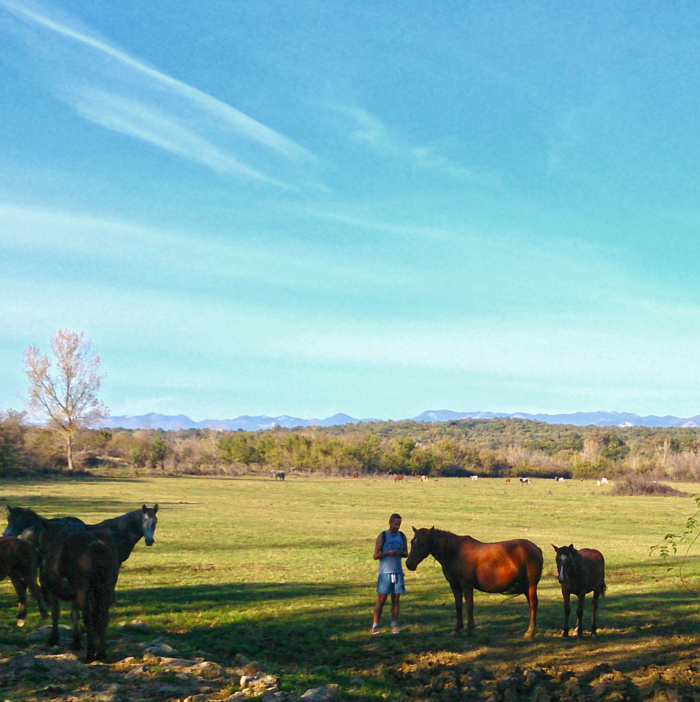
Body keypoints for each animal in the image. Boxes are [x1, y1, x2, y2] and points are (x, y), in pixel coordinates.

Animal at [404, 528, 540, 640]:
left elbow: (469, 605)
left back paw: (530, 631)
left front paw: (469, 630)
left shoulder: (466, 585)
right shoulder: (454, 584)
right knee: (531, 604)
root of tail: (536, 549)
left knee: (533, 603)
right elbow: (458, 605)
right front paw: (456, 629)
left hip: (531, 584)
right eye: (412, 542)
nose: (409, 564)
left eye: (422, 543)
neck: (455, 552)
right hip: (525, 586)